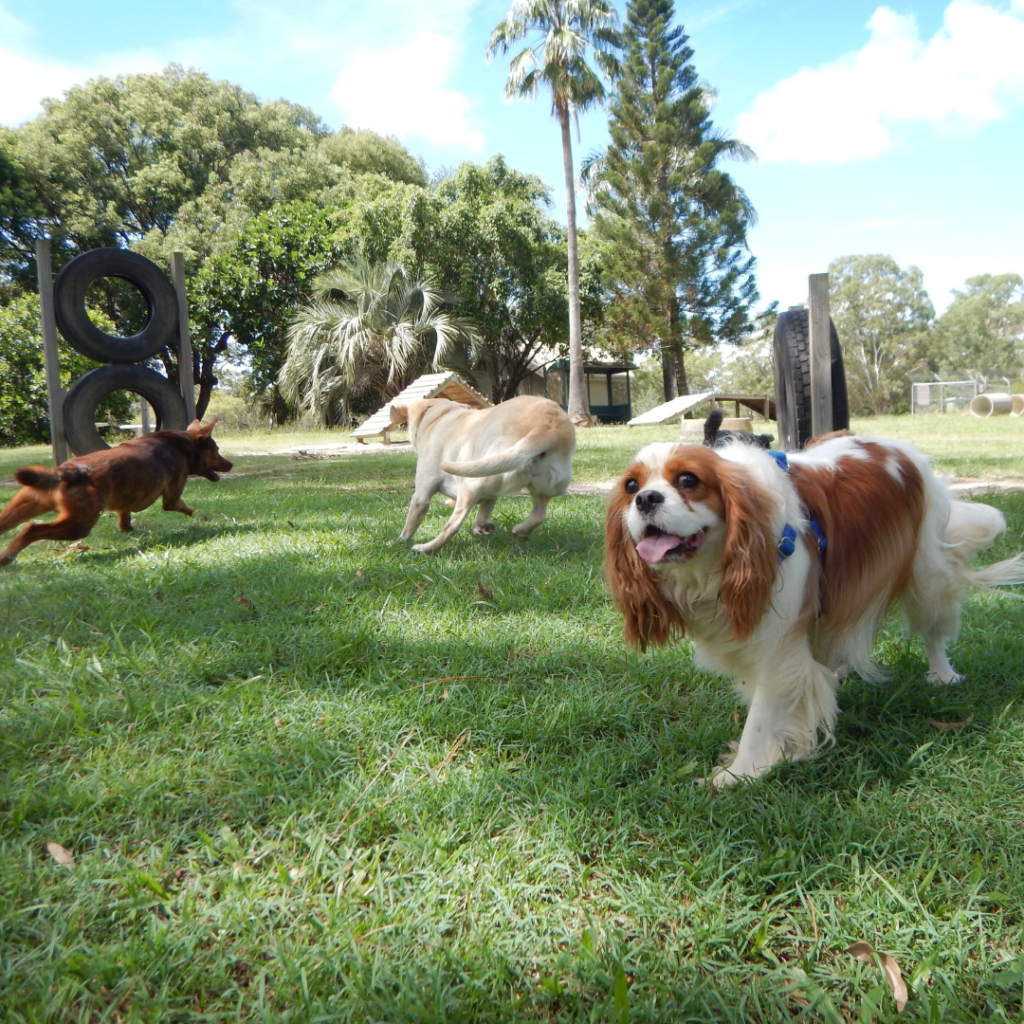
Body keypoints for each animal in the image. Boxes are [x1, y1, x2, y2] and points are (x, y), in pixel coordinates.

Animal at [0, 417, 234, 569]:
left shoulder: (126, 499)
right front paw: (191, 511)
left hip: (24, 506)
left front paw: (126, 528)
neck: (184, 444)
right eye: (217, 450)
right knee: (30, 529)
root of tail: (67, 471)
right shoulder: (172, 496)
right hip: (79, 524)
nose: (231, 464)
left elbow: (124, 514)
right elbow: (178, 504)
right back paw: (7, 557)